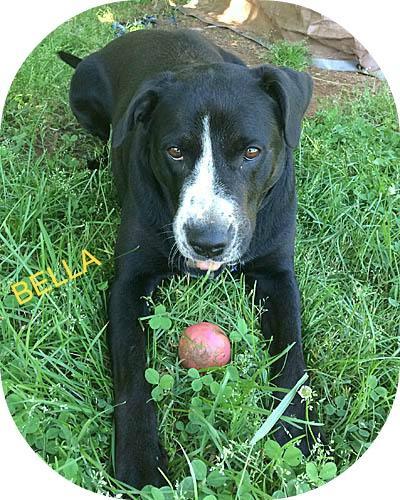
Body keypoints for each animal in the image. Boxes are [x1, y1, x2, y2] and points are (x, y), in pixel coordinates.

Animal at [59, 30, 316, 488]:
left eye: (252, 152)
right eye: (175, 151)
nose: (207, 243)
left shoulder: (277, 275)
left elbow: (293, 358)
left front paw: (293, 436)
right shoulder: (130, 282)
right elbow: (133, 371)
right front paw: (141, 462)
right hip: (83, 93)